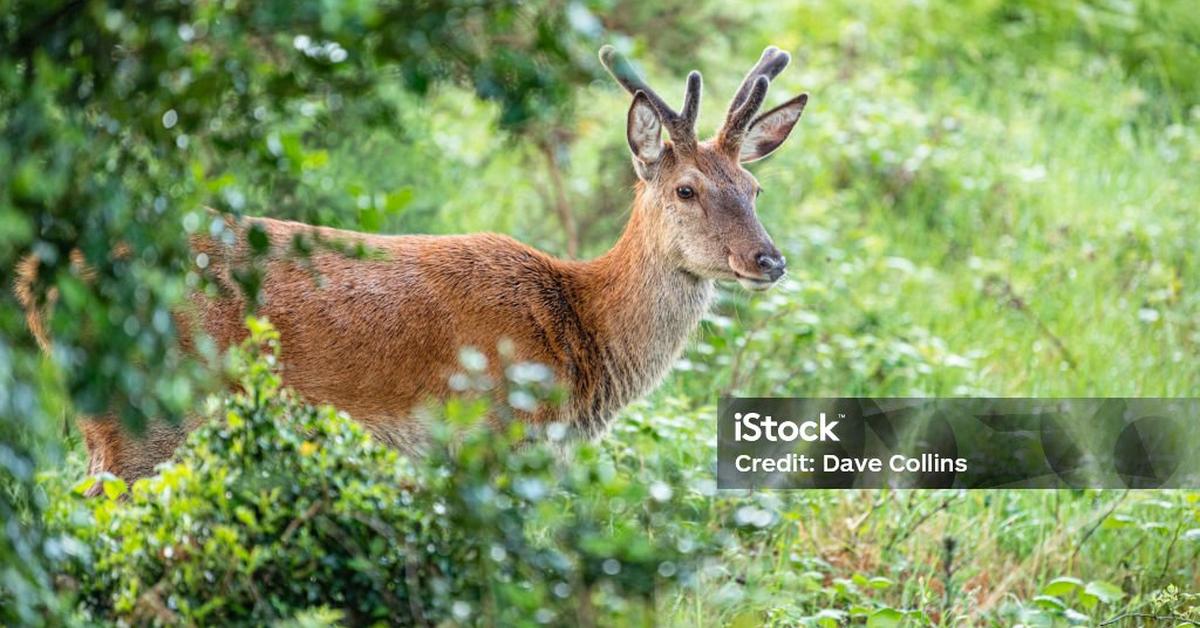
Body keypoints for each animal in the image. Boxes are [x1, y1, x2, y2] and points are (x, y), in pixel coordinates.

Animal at [16, 46, 806, 494]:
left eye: (755, 188)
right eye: (686, 190)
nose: (768, 260)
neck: (578, 334)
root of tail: (36, 281)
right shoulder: (493, 435)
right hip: (143, 416)